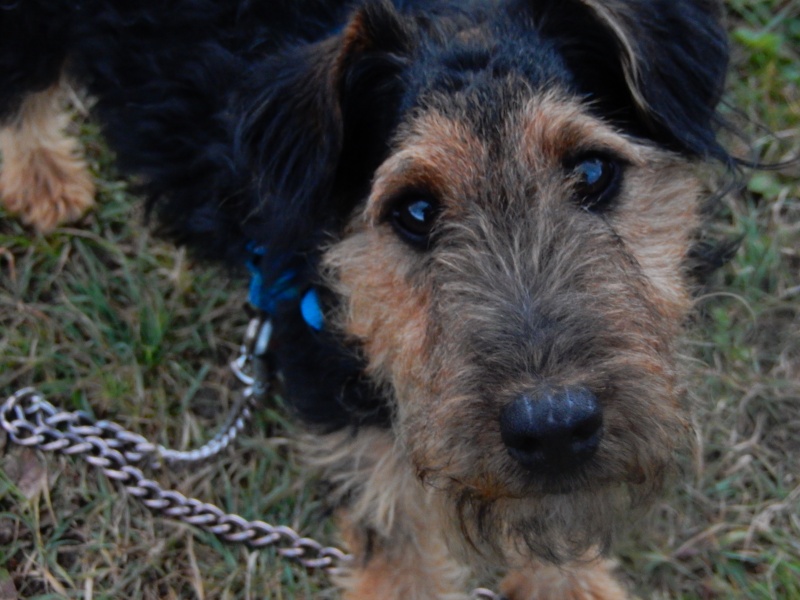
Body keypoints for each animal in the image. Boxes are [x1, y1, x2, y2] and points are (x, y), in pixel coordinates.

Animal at [1, 0, 736, 596]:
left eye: (591, 170)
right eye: (414, 210)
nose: (554, 427)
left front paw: (573, 585)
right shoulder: (340, 394)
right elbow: (398, 540)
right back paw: (42, 177)